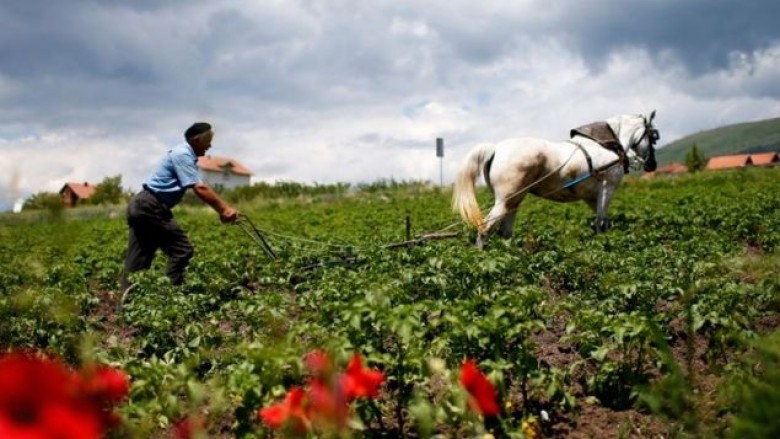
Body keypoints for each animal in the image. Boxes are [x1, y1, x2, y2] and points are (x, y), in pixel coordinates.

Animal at [450, 111, 660, 248]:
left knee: (505, 232)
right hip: (506, 200)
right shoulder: (608, 188)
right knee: (485, 228)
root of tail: (495, 148)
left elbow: (604, 222)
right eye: (653, 136)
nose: (652, 165)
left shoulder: (591, 197)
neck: (604, 145)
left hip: (514, 200)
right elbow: (601, 223)